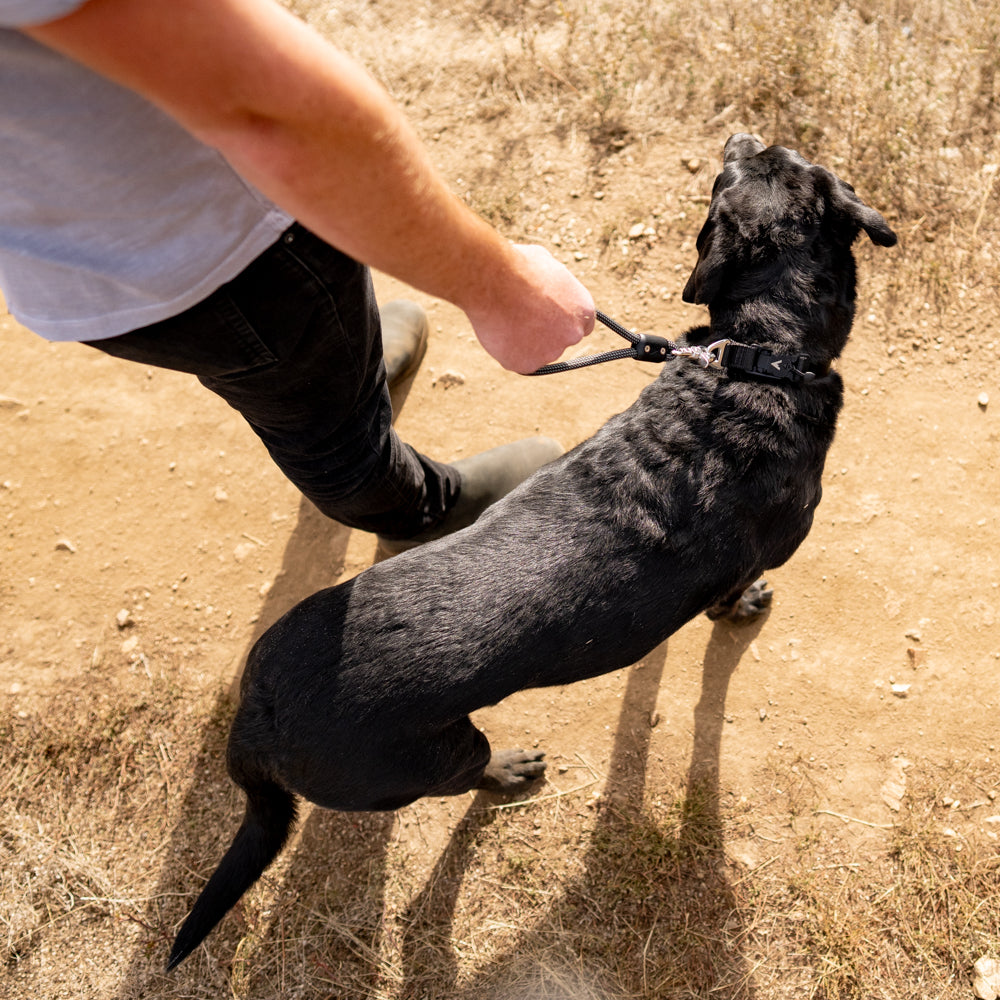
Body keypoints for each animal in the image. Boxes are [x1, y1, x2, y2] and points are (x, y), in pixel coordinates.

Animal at [168, 135, 896, 968]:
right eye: (730, 176)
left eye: (780, 160)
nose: (739, 135)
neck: (756, 360)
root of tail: (255, 718)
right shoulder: (753, 557)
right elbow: (728, 603)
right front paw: (743, 611)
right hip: (424, 760)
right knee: (468, 779)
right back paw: (509, 771)